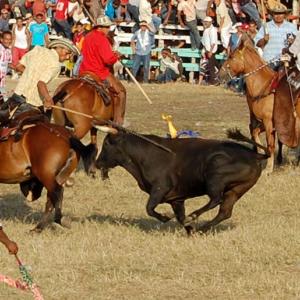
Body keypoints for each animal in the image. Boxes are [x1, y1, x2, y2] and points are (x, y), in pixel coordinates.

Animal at [96, 130, 270, 236]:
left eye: (106, 144)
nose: (97, 163)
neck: (143, 154)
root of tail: (255, 155)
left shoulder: (160, 189)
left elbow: (150, 208)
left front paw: (166, 218)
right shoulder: (176, 199)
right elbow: (179, 216)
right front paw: (190, 230)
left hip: (216, 177)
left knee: (216, 199)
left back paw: (194, 216)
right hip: (236, 190)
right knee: (224, 211)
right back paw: (201, 229)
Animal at [218, 34, 282, 171]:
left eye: (231, 57)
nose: (219, 75)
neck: (265, 87)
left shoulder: (269, 122)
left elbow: (270, 143)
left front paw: (268, 168)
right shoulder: (263, 121)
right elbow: (255, 133)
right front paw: (261, 154)